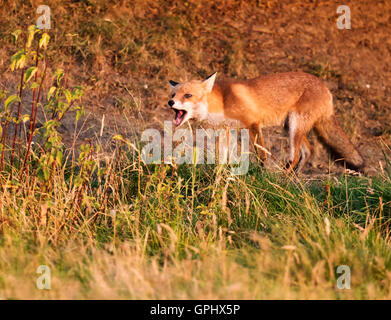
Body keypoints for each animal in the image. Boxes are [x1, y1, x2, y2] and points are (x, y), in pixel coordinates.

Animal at [167, 72, 366, 172]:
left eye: (188, 95)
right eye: (173, 94)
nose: (170, 103)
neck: (222, 102)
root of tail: (325, 87)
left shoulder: (253, 124)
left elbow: (261, 155)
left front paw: (262, 175)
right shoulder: (225, 130)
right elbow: (223, 157)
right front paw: (222, 175)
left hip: (295, 126)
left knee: (295, 156)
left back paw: (282, 178)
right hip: (291, 127)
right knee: (308, 151)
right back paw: (292, 179)